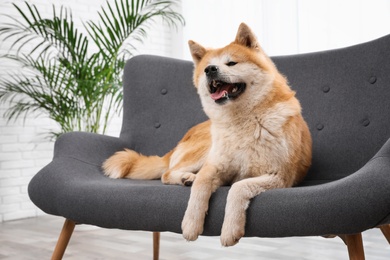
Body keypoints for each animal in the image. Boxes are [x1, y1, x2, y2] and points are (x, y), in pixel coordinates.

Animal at [102, 22, 312, 246]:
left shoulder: (280, 177)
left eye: (231, 63)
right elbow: (200, 186)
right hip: (204, 150)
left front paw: (230, 229)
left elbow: (238, 188)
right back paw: (186, 178)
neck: (242, 122)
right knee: (168, 173)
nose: (210, 70)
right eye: (206, 67)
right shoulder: (214, 165)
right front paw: (191, 223)